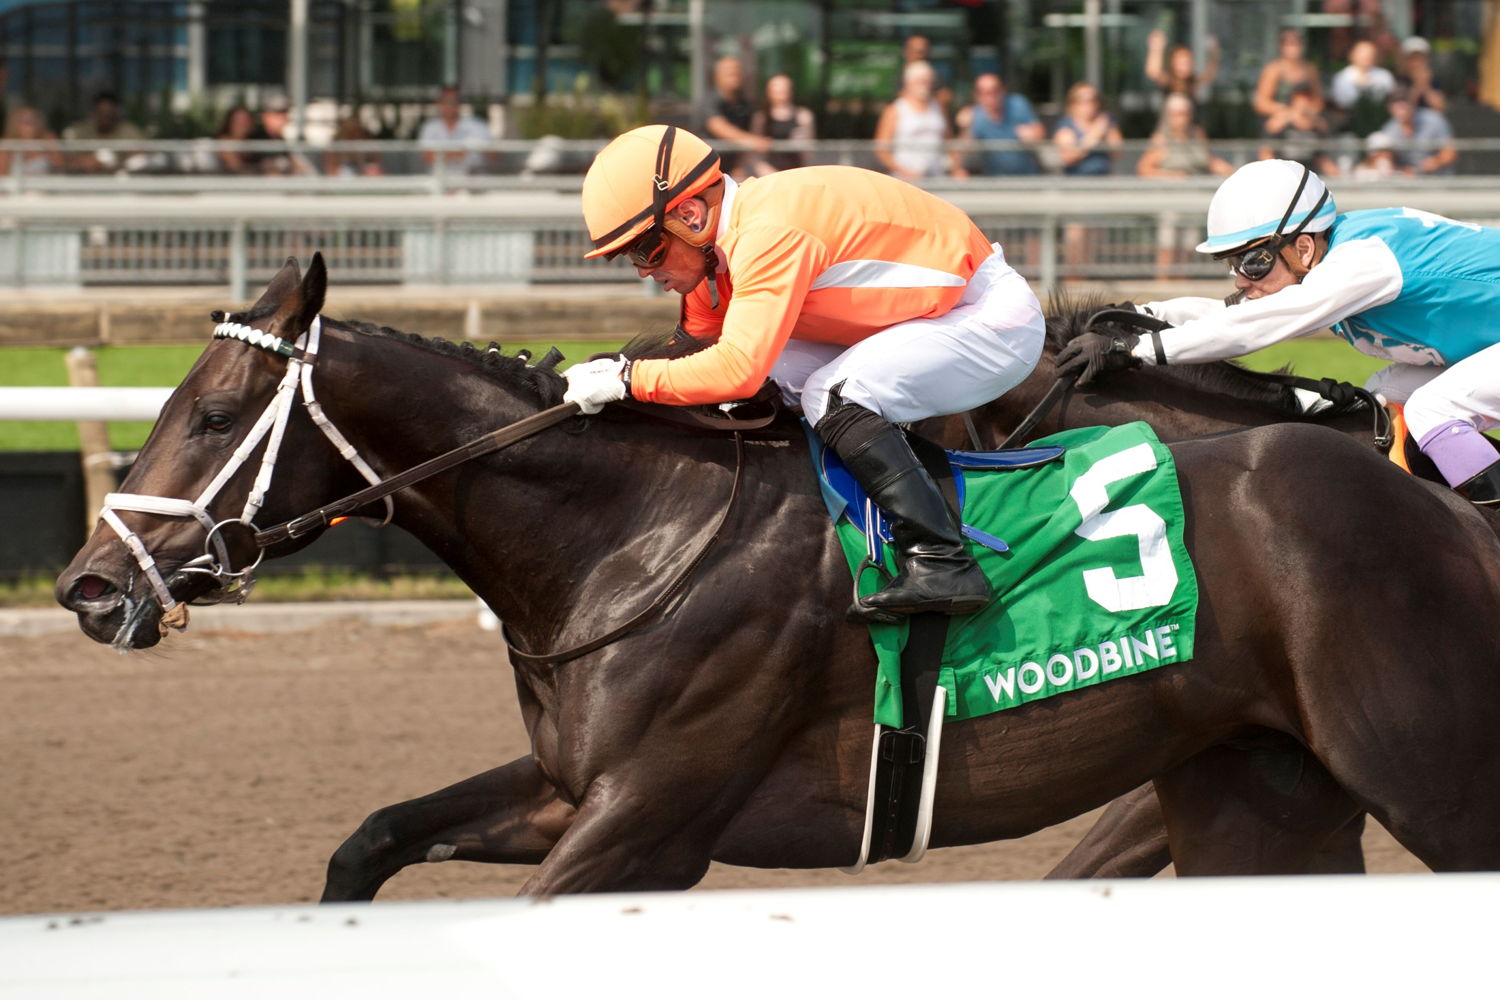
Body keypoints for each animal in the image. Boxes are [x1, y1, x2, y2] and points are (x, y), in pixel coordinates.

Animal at [52, 262, 1500, 893]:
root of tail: (1444, 518)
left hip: (1422, 773)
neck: (627, 534)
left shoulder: (648, 824)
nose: (86, 586)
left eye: (213, 411)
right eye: (170, 401)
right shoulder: (574, 790)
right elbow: (372, 838)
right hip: (1258, 792)